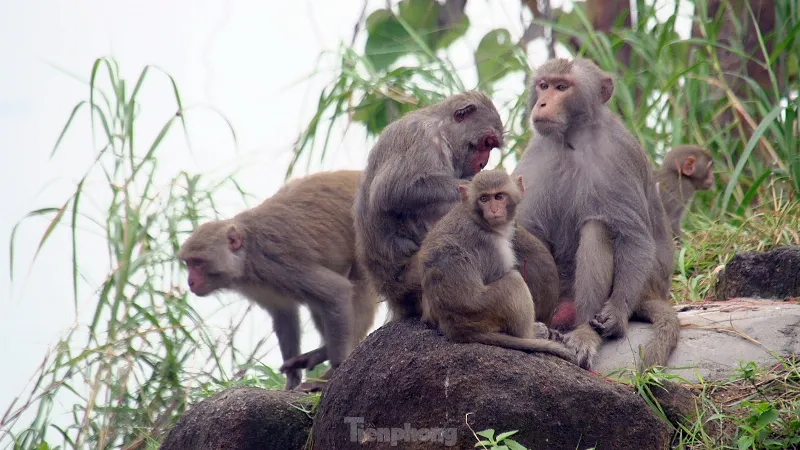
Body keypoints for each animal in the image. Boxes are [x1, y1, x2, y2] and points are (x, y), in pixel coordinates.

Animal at [180, 170, 380, 390]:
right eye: (188, 263)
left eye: (198, 263)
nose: (190, 282)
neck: (246, 257)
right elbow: (284, 314)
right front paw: (292, 380)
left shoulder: (276, 264)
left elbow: (336, 291)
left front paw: (336, 367)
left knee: (355, 285)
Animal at [418, 169, 580, 366]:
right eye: (484, 199)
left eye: (499, 196)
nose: (494, 210)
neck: (476, 217)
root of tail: (456, 327)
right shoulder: (491, 245)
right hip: (484, 311)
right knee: (514, 280)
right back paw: (530, 335)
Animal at [512, 57, 680, 372]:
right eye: (543, 85)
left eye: (562, 87)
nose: (541, 104)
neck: (572, 139)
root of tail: (656, 291)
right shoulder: (537, 152)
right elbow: (522, 228)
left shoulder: (618, 154)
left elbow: (634, 237)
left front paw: (615, 314)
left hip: (639, 285)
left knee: (597, 228)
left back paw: (584, 333)